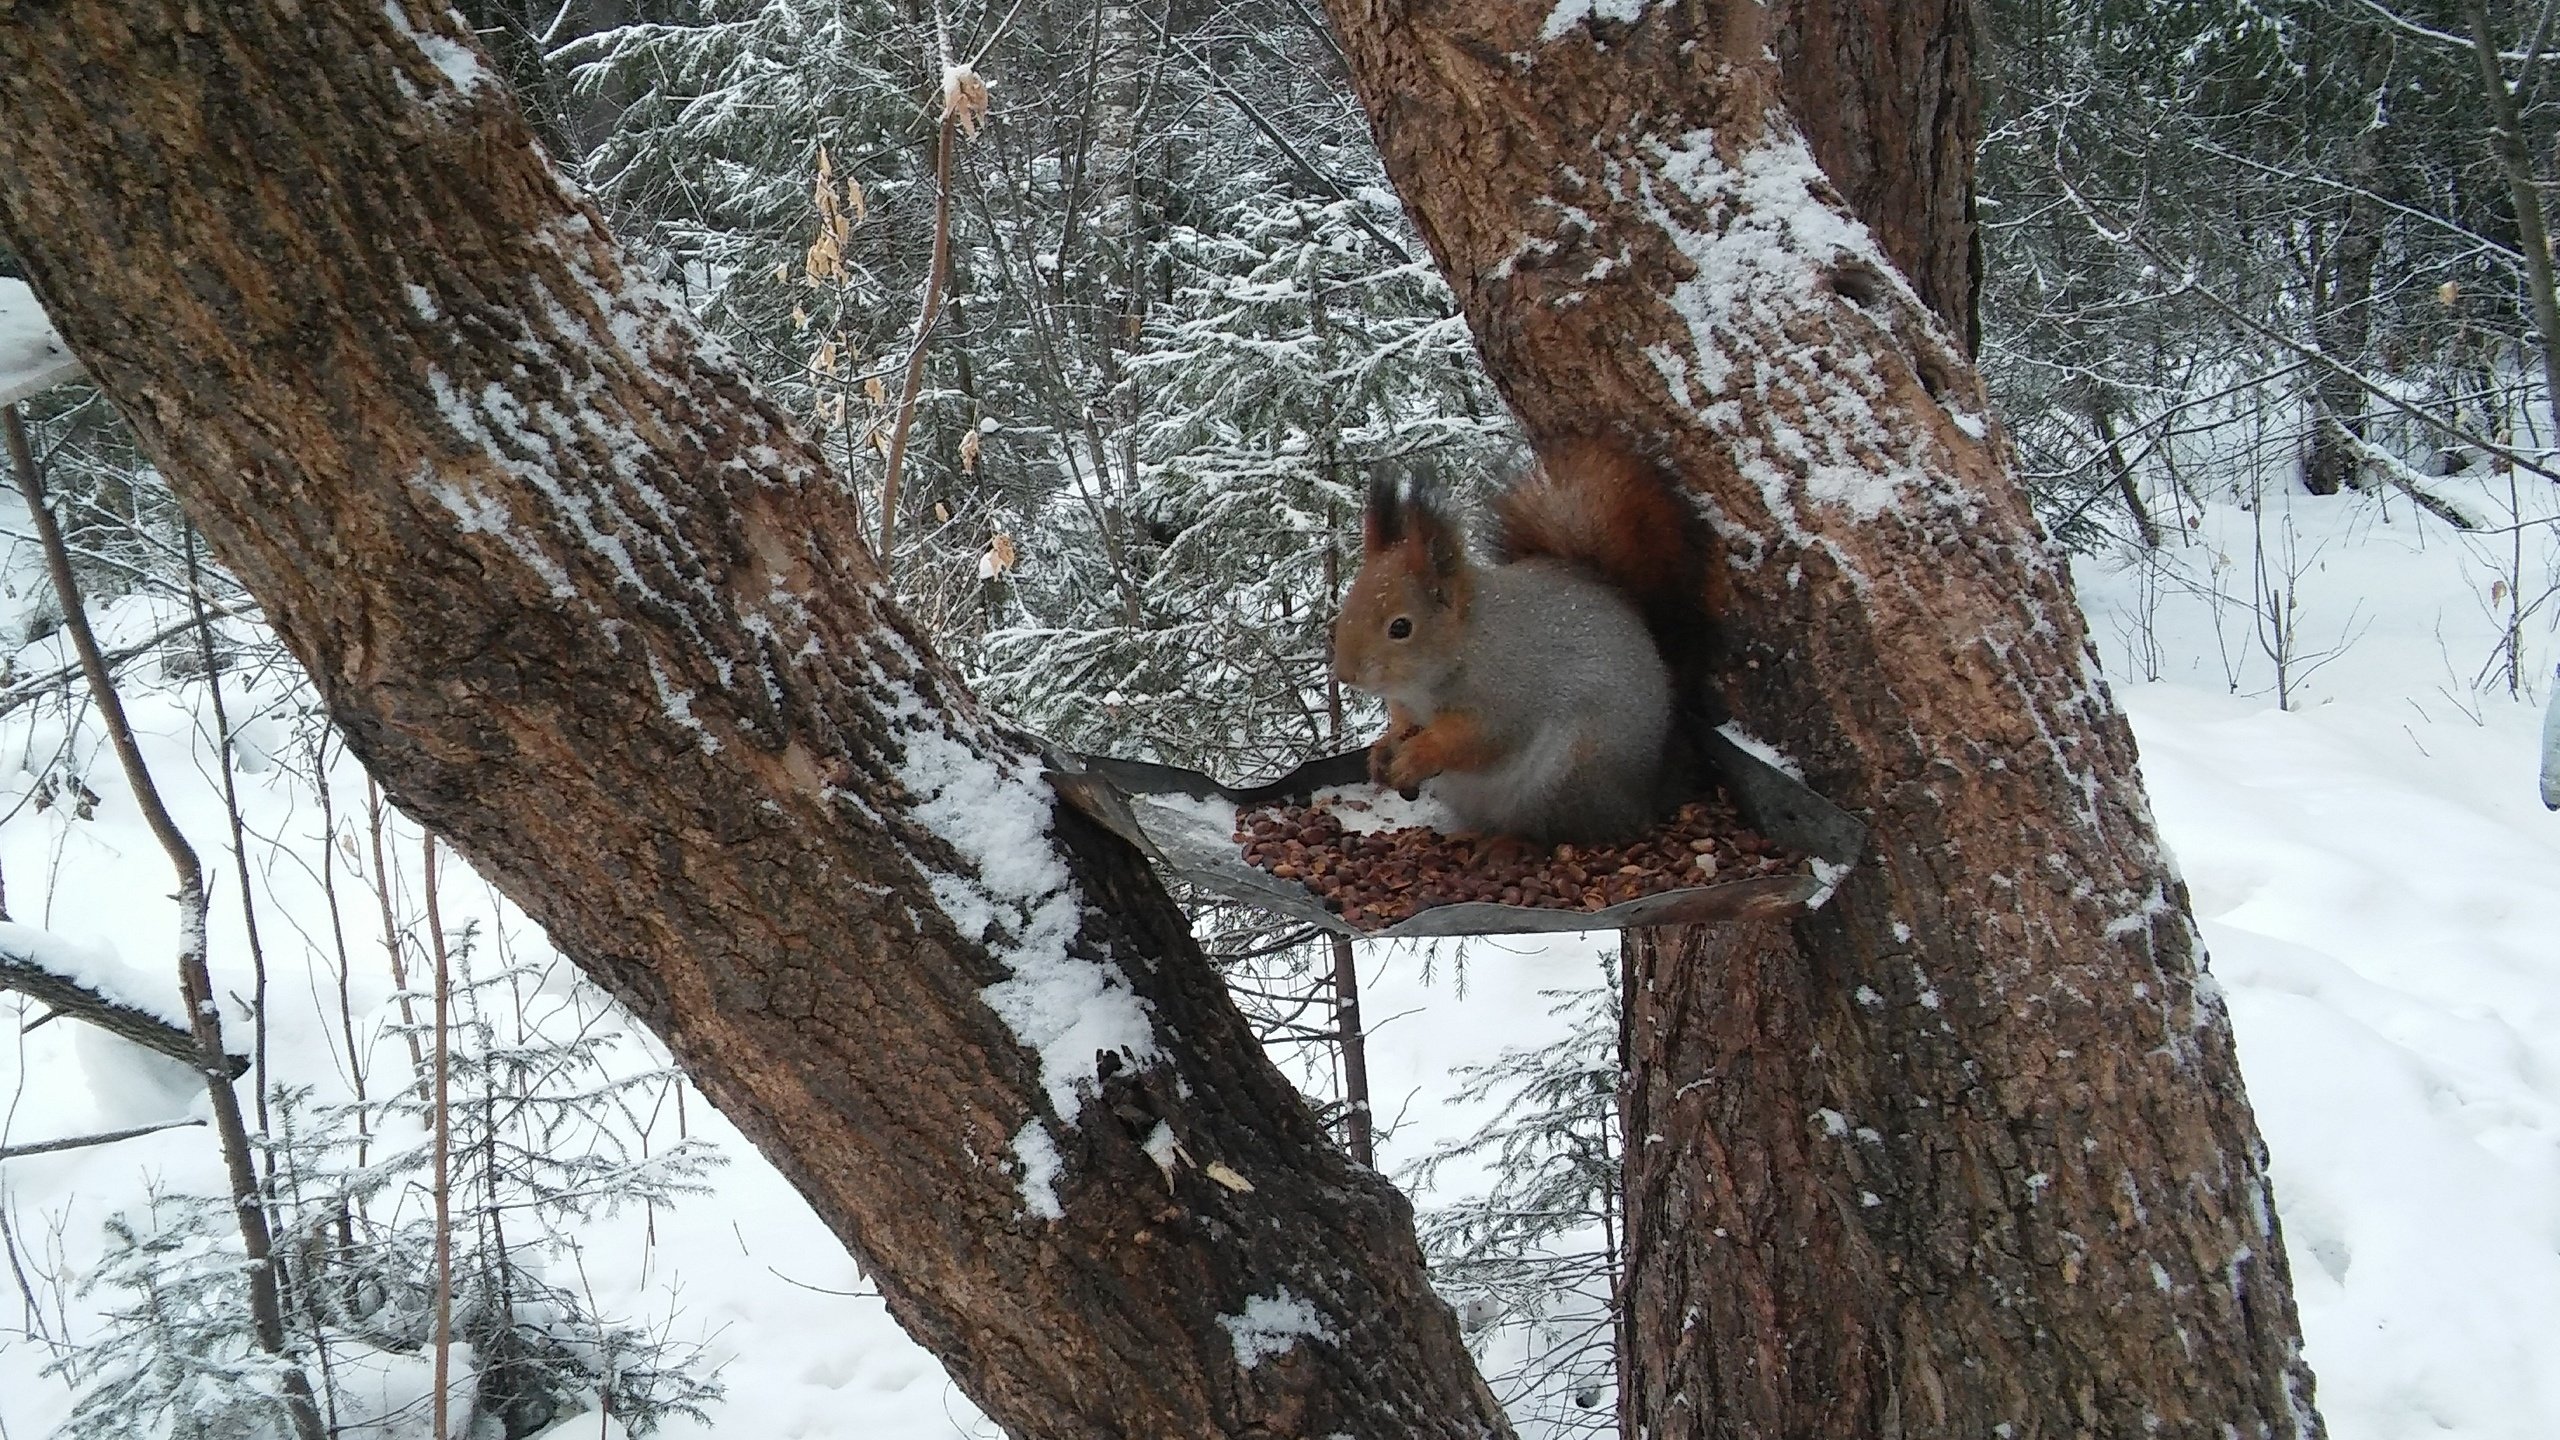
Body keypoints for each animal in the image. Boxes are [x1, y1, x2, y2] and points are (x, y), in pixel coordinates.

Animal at [1341, 438, 1699, 840]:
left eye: (1400, 627)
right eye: (1348, 602)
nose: (1345, 674)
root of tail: (1643, 796)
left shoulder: (1507, 697)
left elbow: (1478, 740)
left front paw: (1420, 754)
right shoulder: (1406, 705)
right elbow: (1402, 727)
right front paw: (1383, 749)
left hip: (1573, 772)